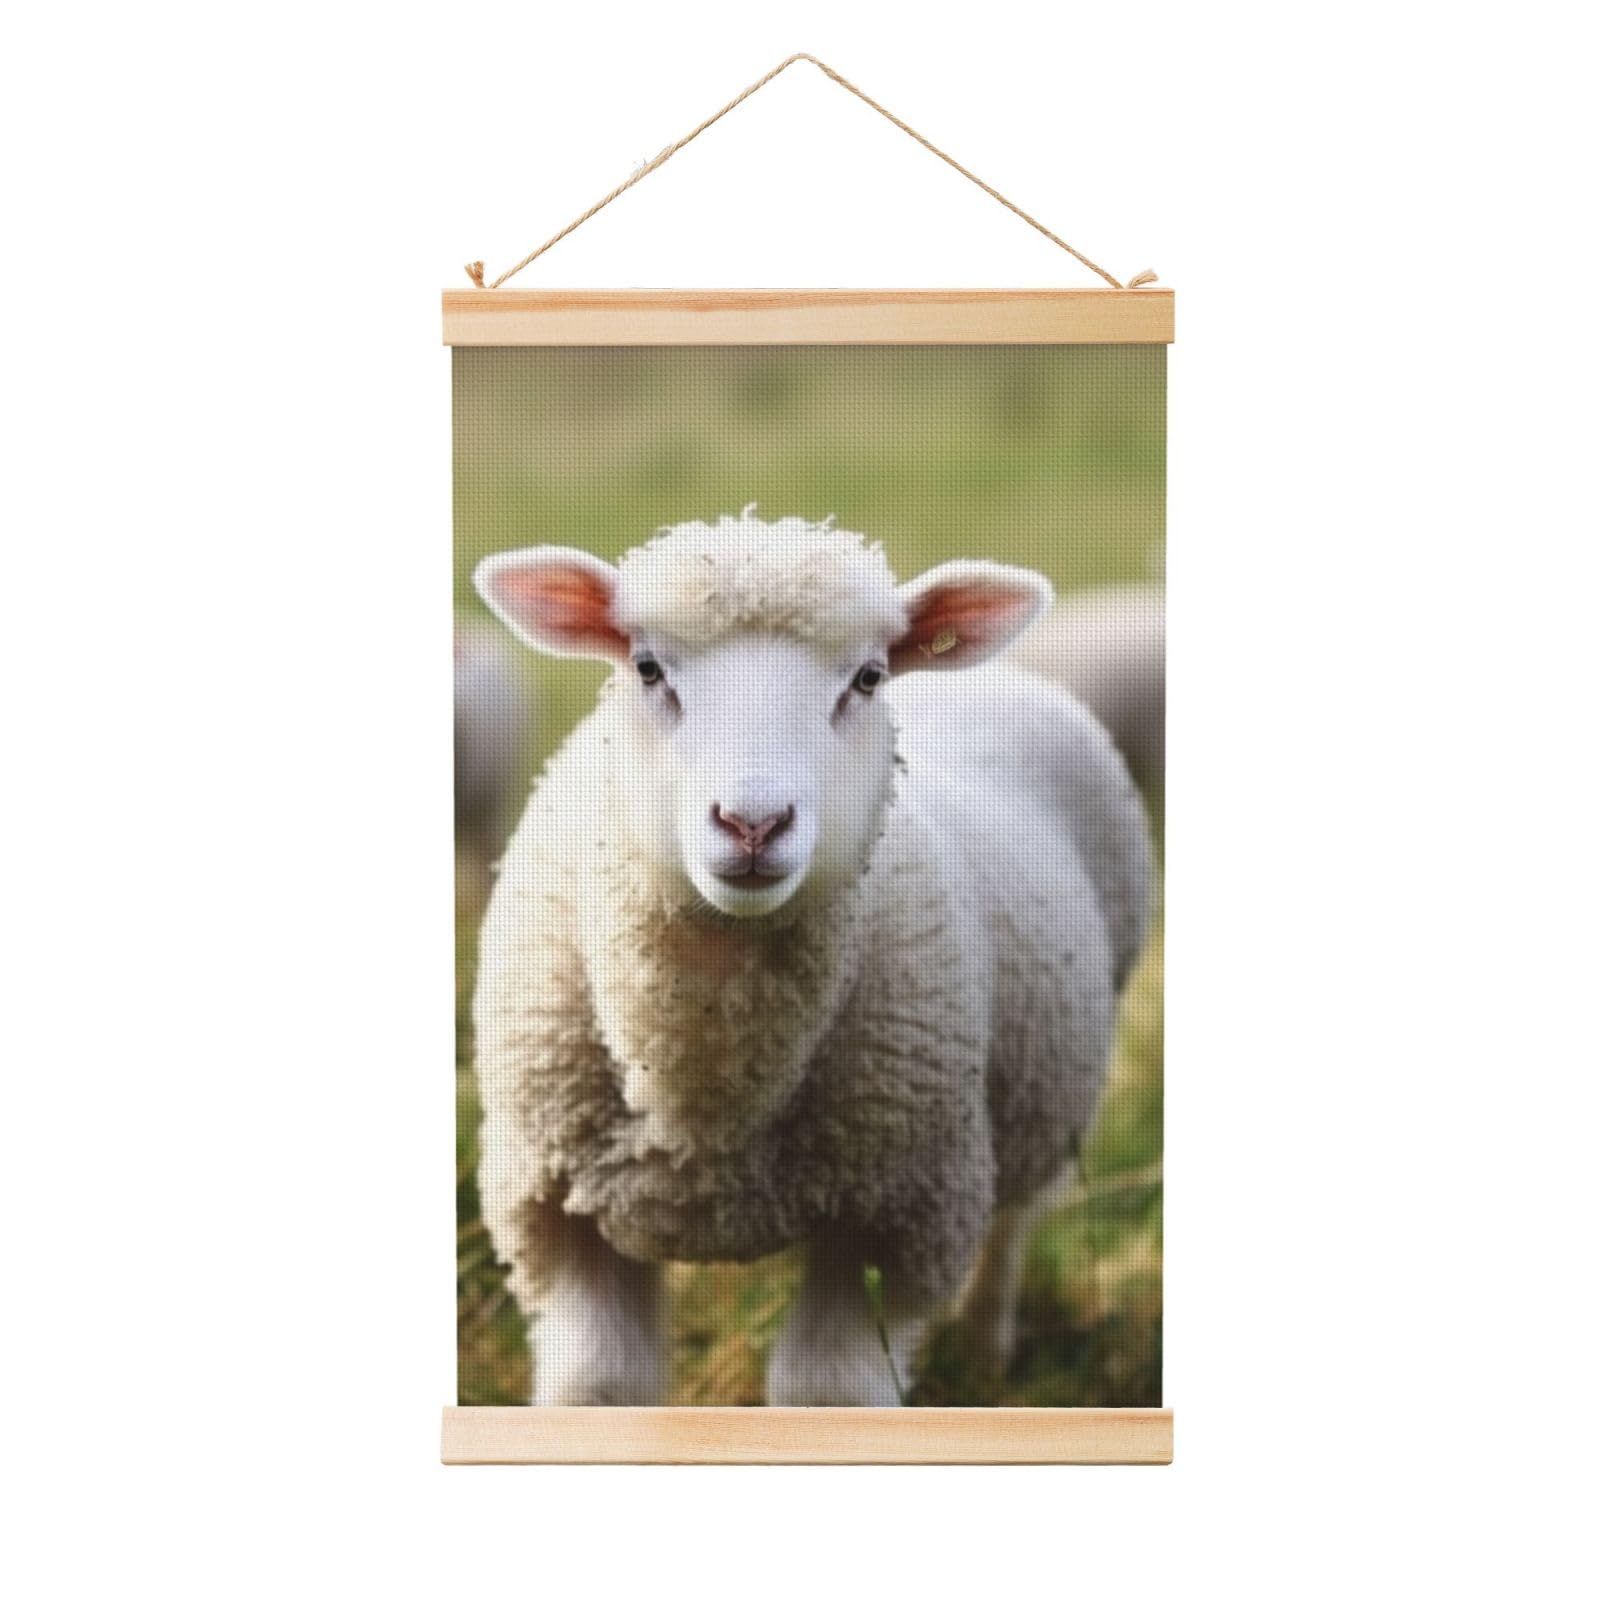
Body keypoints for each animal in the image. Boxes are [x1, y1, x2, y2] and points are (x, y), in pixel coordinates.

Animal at [470, 509, 1153, 1406]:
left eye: (866, 678)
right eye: (648, 668)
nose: (753, 823)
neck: (707, 1102)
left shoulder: (900, 1214)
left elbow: (825, 1391)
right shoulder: (553, 1210)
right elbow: (602, 1386)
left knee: (1011, 1228)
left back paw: (986, 1353)